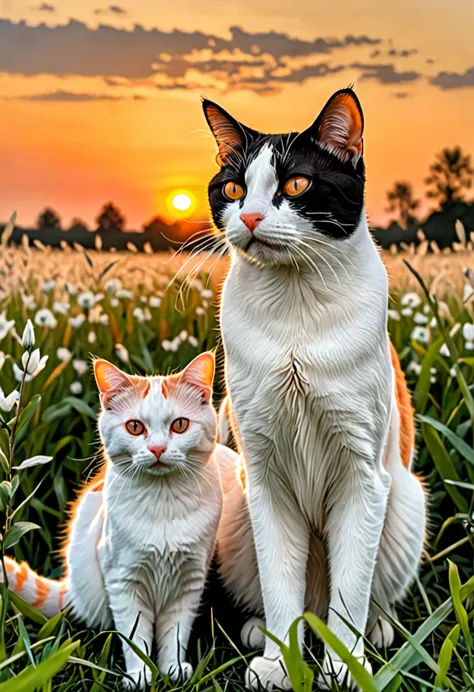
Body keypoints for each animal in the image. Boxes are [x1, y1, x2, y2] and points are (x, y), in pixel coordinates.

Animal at [1, 354, 235, 688]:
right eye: (135, 427)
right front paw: (139, 675)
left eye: (179, 425)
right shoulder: (122, 581)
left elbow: (175, 633)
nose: (157, 449)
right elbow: (136, 637)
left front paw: (173, 669)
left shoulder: (189, 582)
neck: (163, 502)